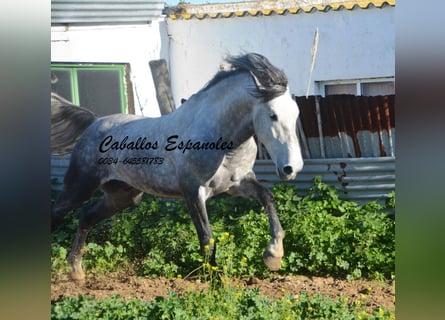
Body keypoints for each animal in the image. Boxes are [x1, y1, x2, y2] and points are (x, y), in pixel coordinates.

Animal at [51, 53, 302, 282]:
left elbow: (267, 197)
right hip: (80, 185)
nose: (292, 168)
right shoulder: (193, 192)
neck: (221, 141)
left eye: (296, 113)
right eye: (273, 115)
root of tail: (94, 122)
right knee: (58, 213)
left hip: (122, 196)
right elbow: (207, 238)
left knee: (86, 216)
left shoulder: (237, 184)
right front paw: (215, 281)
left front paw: (273, 255)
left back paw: (77, 272)